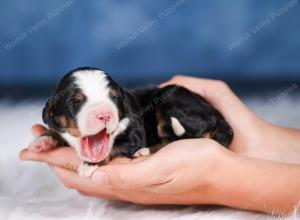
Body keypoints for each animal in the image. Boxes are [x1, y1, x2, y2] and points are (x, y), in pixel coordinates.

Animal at [28, 67, 233, 177]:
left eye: (113, 97)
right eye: (76, 101)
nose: (105, 115)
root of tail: (216, 112)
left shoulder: (135, 134)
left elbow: (114, 147)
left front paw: (91, 165)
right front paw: (42, 141)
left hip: (170, 97)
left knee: (187, 137)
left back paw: (144, 151)